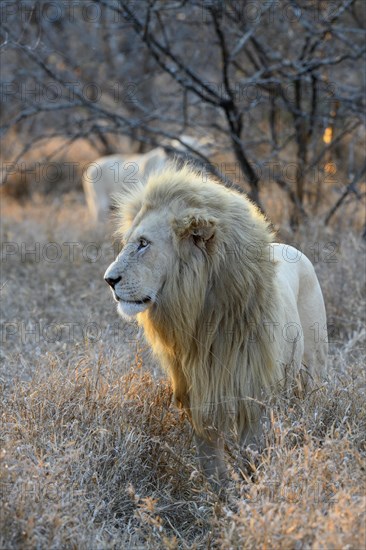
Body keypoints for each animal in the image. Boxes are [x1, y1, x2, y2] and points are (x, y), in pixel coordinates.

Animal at [104, 164, 328, 488]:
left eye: (143, 244)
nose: (109, 280)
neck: (203, 319)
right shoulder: (197, 394)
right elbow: (211, 462)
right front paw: (218, 497)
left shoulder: (253, 392)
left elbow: (254, 455)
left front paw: (254, 491)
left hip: (313, 371)